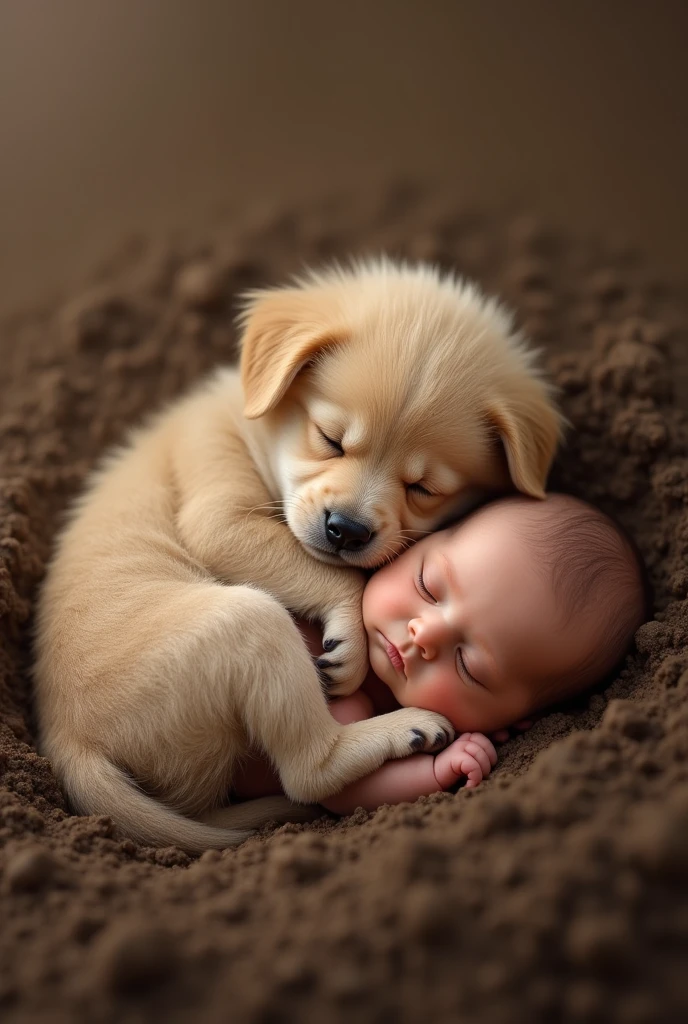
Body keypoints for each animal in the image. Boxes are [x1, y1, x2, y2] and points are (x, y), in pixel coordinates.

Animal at [33, 260, 565, 851]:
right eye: (330, 439)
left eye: (423, 488)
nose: (345, 530)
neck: (253, 421)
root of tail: (71, 741)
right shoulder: (219, 508)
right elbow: (343, 580)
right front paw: (351, 644)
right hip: (250, 619)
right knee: (311, 771)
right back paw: (403, 729)